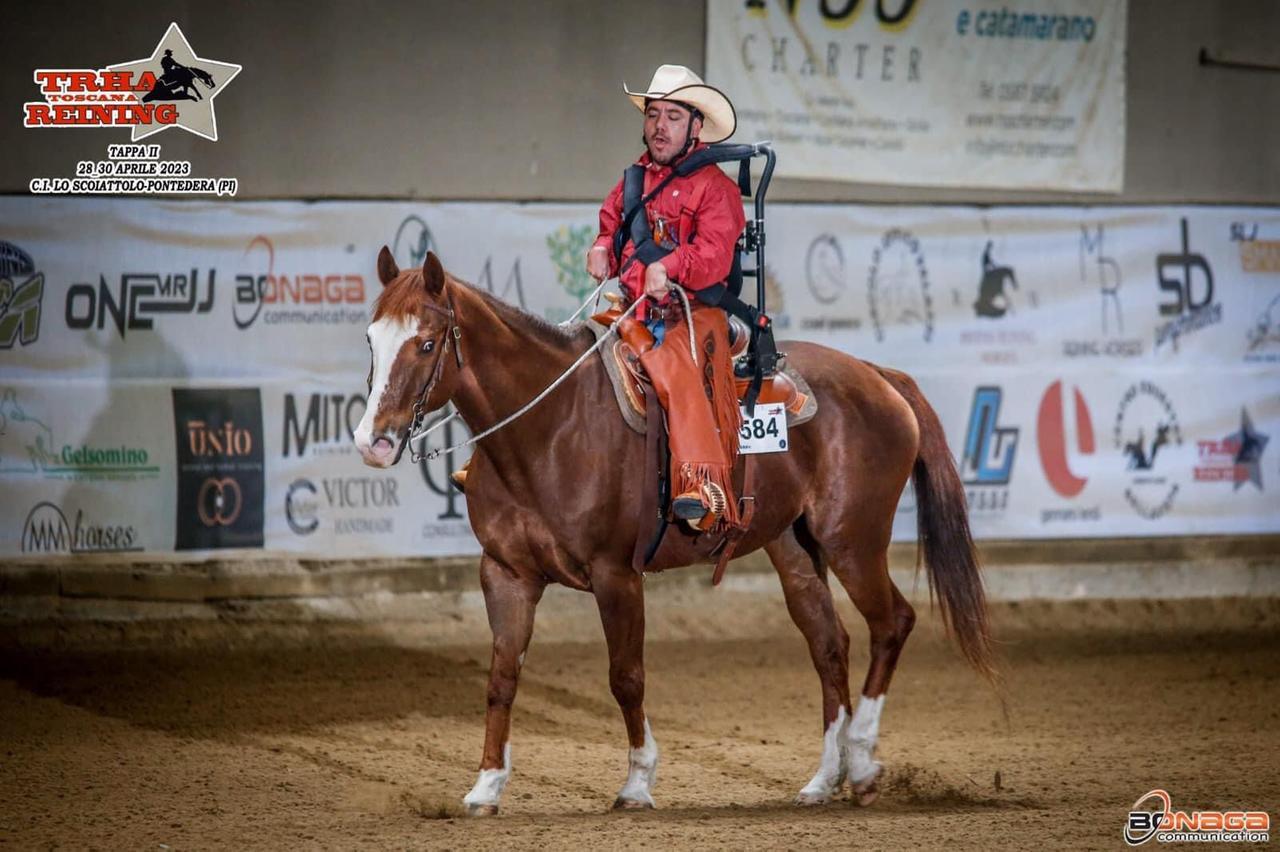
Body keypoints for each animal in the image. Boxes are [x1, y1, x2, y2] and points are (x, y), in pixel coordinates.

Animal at [353, 248, 995, 816]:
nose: (372, 441)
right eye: (370, 339)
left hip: (853, 540)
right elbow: (502, 676)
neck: (550, 427)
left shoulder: (616, 574)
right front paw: (486, 786)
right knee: (829, 643)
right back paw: (823, 778)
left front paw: (637, 784)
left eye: (427, 343)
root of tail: (878, 375)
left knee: (892, 623)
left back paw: (861, 766)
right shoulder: (505, 574)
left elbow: (626, 677)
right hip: (794, 545)